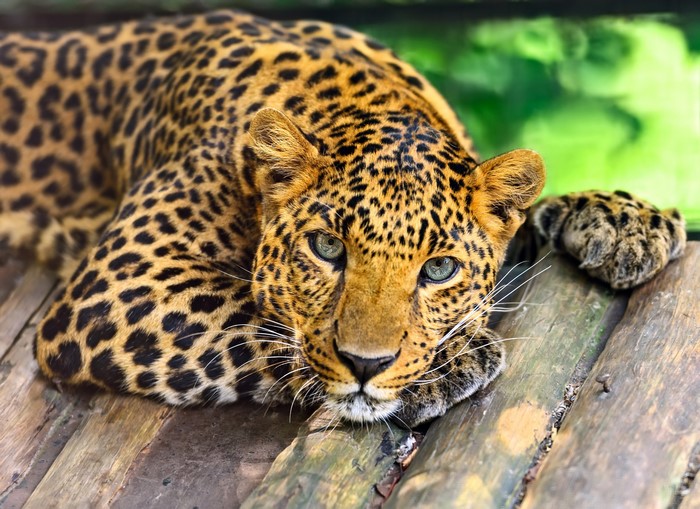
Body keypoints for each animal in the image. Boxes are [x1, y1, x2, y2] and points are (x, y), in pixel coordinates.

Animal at [0, 9, 686, 426]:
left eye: (439, 269)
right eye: (327, 249)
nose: (366, 366)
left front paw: (626, 221)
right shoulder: (123, 279)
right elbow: (258, 316)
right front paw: (445, 364)